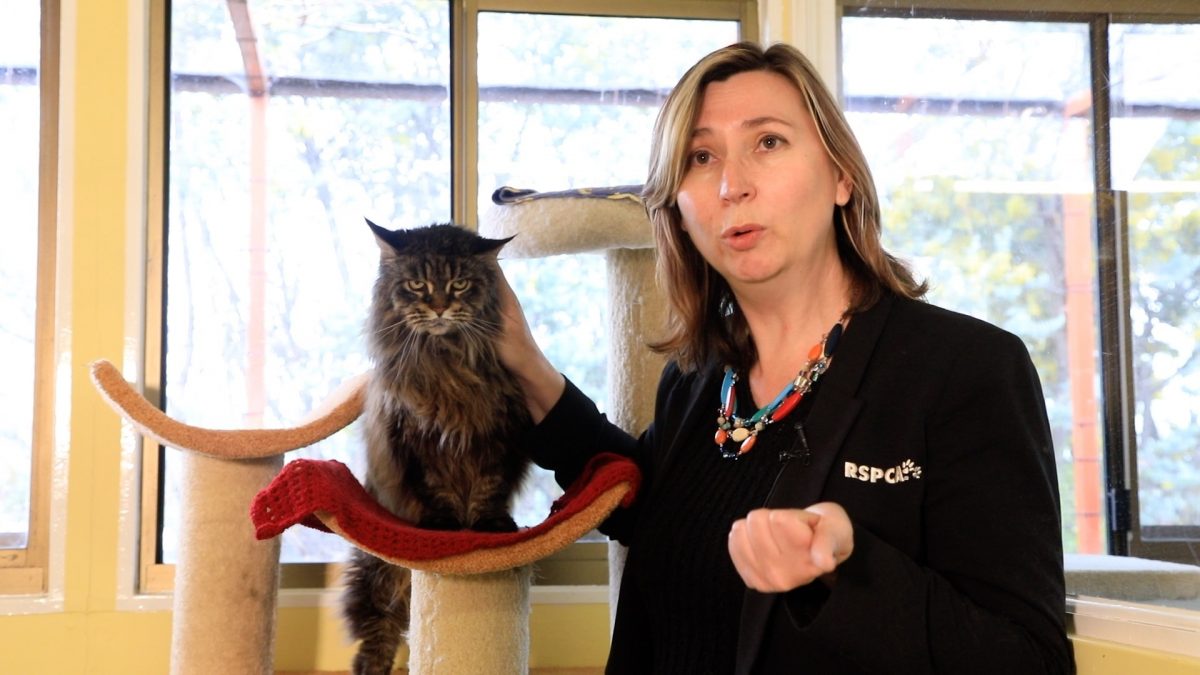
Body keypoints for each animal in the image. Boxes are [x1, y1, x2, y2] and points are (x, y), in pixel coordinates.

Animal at [345, 219, 537, 672]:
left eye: (459, 283)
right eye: (417, 284)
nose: (437, 307)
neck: (446, 359)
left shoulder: (499, 433)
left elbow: (488, 489)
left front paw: (488, 525)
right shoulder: (417, 438)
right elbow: (437, 491)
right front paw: (447, 525)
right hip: (377, 572)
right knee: (379, 626)